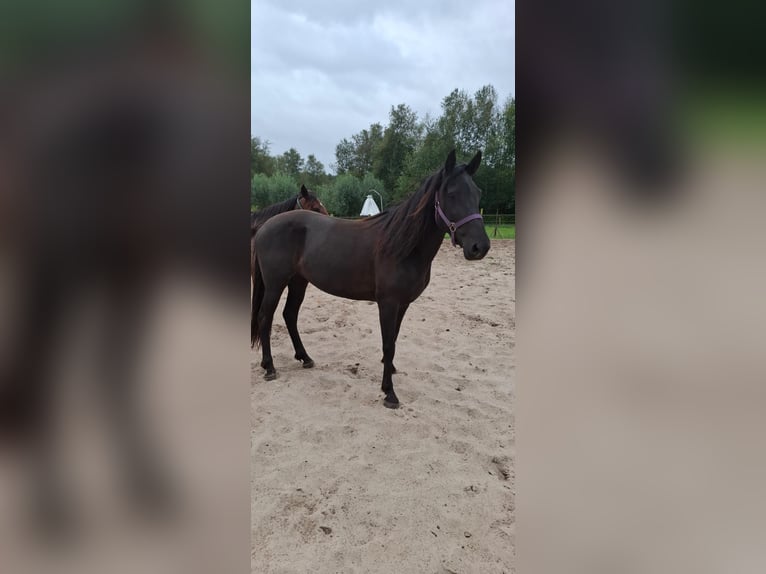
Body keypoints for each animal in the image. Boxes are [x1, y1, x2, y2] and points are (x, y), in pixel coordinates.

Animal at [252, 151, 492, 408]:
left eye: (478, 193)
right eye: (451, 193)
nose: (480, 247)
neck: (402, 246)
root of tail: (264, 227)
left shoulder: (402, 304)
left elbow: (394, 340)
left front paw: (391, 370)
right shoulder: (388, 303)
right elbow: (388, 343)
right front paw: (389, 392)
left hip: (298, 282)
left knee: (289, 315)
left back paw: (305, 358)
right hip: (275, 284)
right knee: (265, 317)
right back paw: (269, 367)